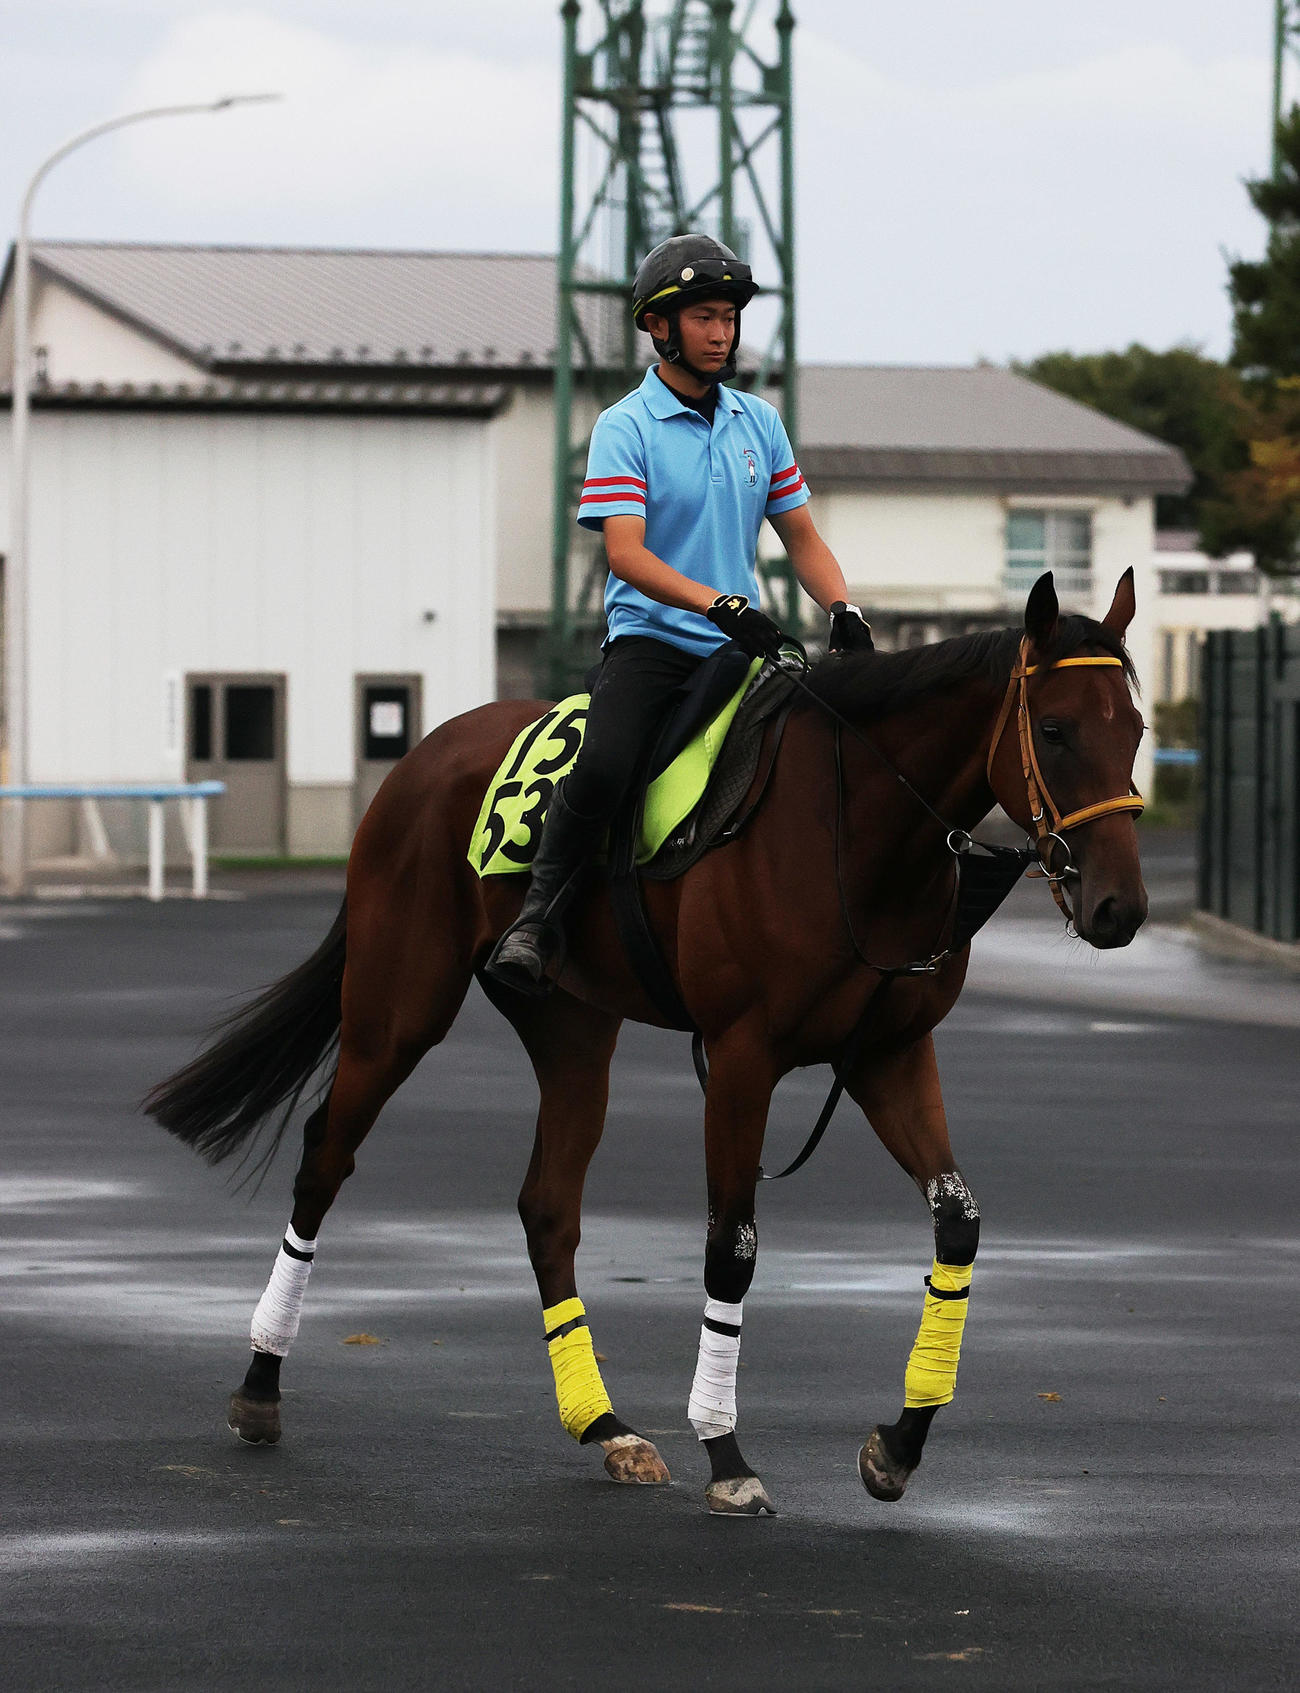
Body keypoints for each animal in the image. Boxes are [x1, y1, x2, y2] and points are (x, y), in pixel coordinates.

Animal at [145, 569, 1148, 1516]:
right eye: (1056, 729)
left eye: (1135, 730)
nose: (1119, 907)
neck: (853, 827)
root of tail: (421, 756)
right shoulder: (743, 1056)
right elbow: (731, 1247)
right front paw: (729, 1456)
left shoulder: (888, 1054)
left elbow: (957, 1224)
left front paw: (898, 1445)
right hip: (398, 1006)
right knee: (326, 1156)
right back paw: (260, 1385)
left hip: (573, 1028)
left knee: (547, 1206)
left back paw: (605, 1425)